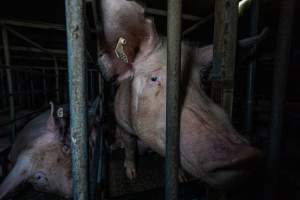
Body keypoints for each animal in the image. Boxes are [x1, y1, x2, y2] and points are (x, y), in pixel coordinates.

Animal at [99, 0, 262, 189]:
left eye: (202, 81)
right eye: (154, 78)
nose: (247, 155)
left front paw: (182, 179)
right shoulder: (123, 123)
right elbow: (130, 147)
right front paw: (132, 175)